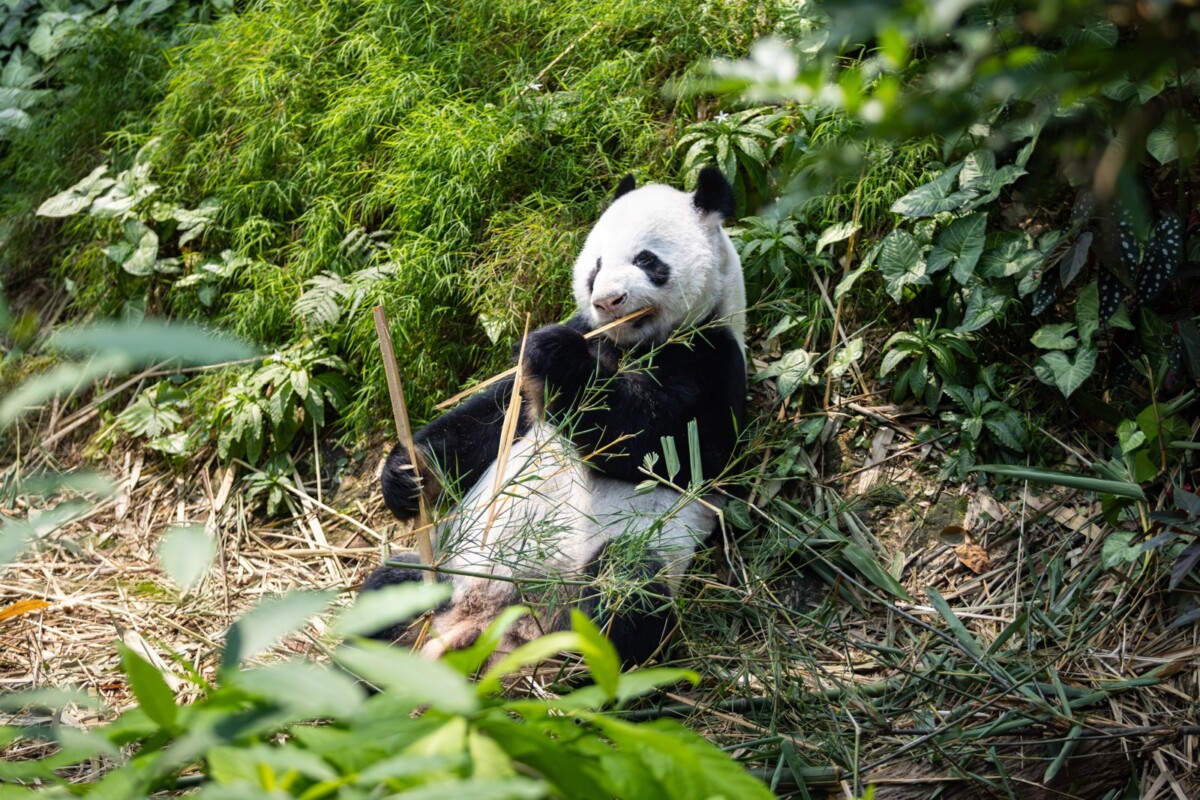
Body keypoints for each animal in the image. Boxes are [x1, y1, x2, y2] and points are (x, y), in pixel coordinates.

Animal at [363, 166, 746, 665]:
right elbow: (488, 420)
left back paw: (582, 665)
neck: (625, 343)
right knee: (384, 593)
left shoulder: (711, 361)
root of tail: (485, 625)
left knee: (626, 589)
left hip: (614, 562)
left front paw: (558, 356)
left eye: (647, 260)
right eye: (596, 265)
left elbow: (656, 445)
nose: (608, 301)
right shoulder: (553, 364)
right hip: (445, 577)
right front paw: (406, 473)